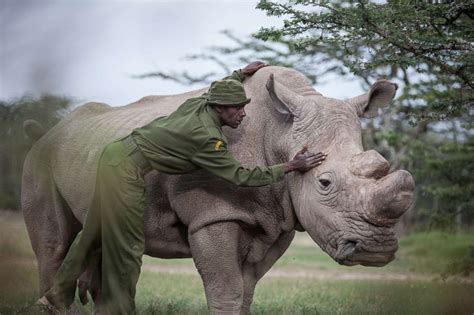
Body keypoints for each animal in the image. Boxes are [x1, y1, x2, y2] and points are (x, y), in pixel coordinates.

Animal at [22, 65, 412, 314]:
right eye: (325, 183)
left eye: (382, 165)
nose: (375, 250)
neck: (280, 133)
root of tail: (47, 131)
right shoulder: (213, 215)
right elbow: (226, 288)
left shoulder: (278, 219)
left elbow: (246, 290)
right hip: (42, 159)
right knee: (55, 244)